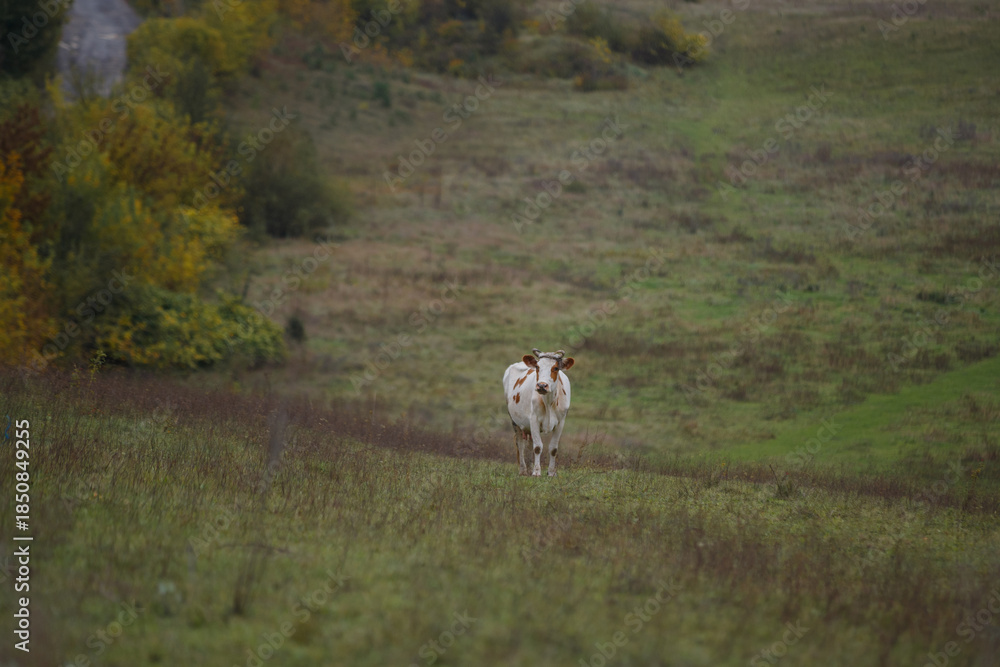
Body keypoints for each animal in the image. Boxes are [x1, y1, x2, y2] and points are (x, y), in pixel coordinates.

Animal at [502, 348, 574, 477]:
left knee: (529, 443)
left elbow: (553, 449)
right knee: (521, 444)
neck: (549, 402)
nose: (542, 385)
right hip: (515, 421)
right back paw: (523, 470)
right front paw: (536, 472)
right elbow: (537, 447)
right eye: (537, 367)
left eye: (556, 368)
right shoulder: (533, 419)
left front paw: (551, 472)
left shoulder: (561, 422)